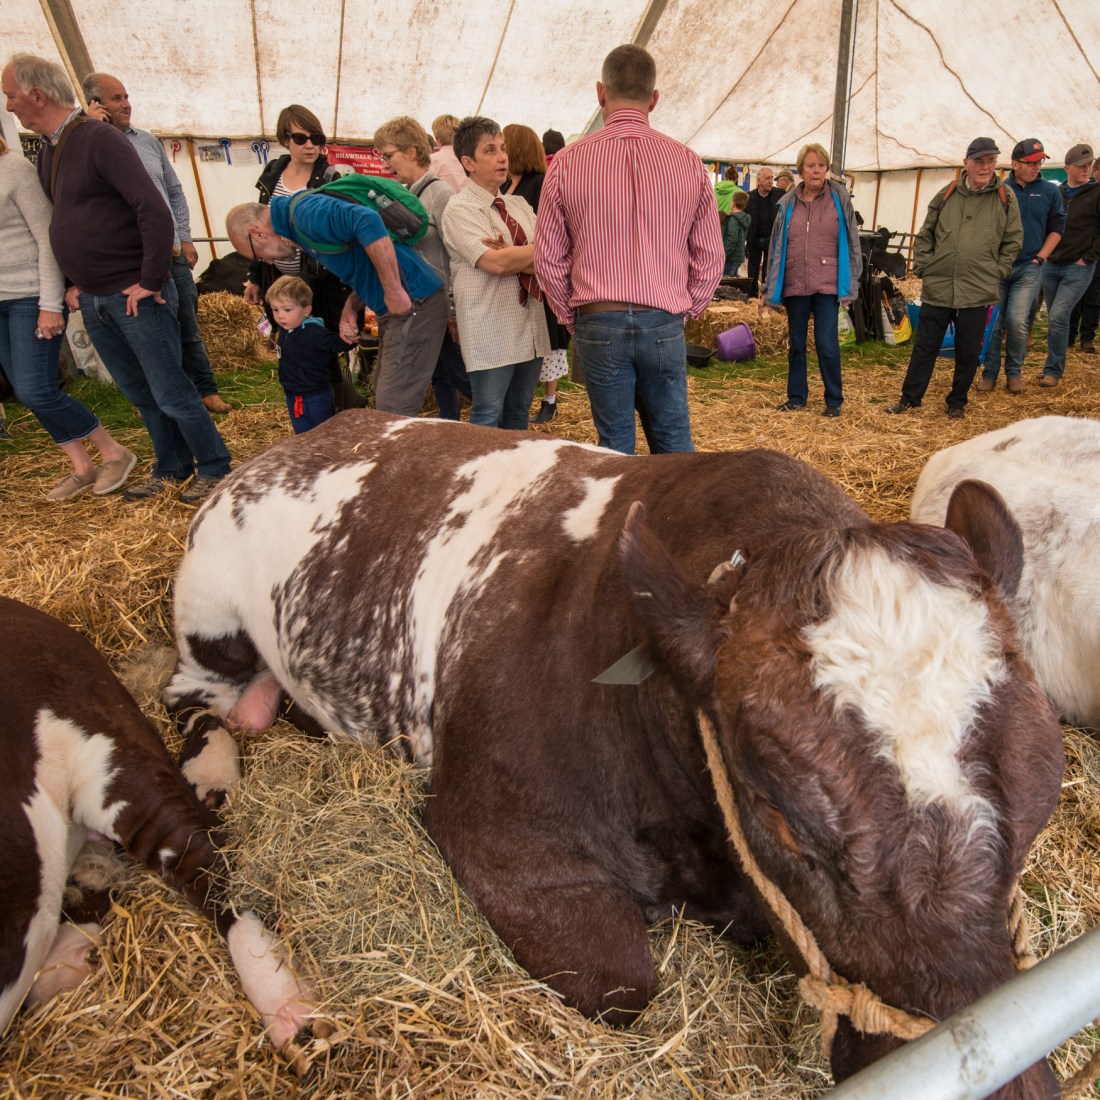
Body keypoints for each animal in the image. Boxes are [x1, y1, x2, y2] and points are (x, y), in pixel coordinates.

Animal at [166, 411, 1064, 1096]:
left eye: (1042, 802)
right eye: (781, 815)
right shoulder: (498, 835)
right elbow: (623, 985)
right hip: (208, 620)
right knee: (195, 716)